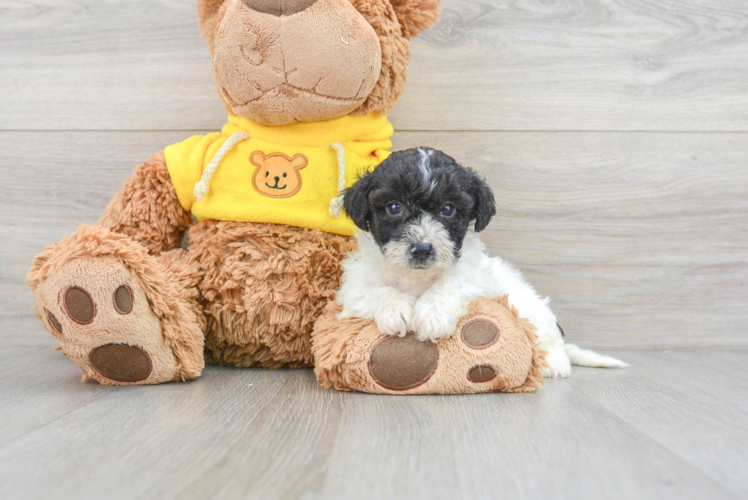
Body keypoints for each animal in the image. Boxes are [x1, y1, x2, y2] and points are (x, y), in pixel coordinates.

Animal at [338, 146, 624, 376]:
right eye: (394, 208)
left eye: (448, 209)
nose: (421, 249)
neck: (418, 278)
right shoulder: (354, 287)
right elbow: (376, 290)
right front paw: (395, 310)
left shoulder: (475, 276)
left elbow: (450, 284)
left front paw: (433, 314)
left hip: (530, 309)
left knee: (550, 340)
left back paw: (553, 362)